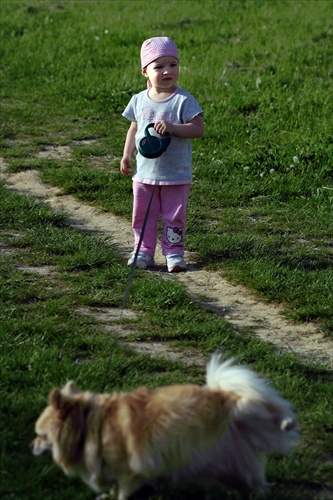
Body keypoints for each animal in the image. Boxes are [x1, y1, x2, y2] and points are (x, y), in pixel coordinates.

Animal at [30, 354, 298, 498]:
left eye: (40, 435)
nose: (31, 445)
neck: (89, 426)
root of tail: (225, 395)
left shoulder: (131, 472)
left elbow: (124, 491)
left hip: (245, 421)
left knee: (273, 414)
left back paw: (286, 423)